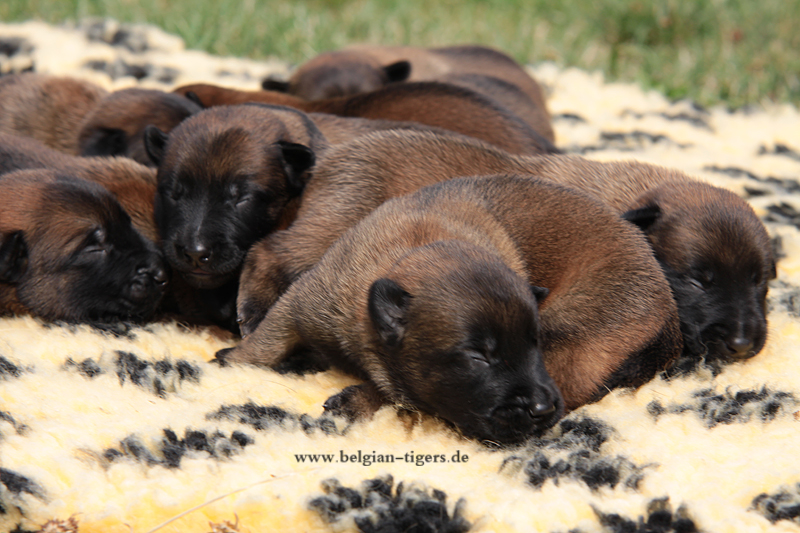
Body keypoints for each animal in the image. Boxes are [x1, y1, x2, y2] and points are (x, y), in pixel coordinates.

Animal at [218, 175, 681, 437]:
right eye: (478, 357)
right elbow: (269, 338)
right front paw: (235, 358)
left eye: (532, 347)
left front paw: (362, 398)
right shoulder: (306, 300)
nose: (542, 409)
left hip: (571, 339)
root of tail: (669, 310)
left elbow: (400, 393)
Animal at [237, 130, 773, 362]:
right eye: (697, 280)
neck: (621, 195)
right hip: (335, 227)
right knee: (270, 252)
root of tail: (330, 154)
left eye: (762, 284)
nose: (743, 345)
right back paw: (250, 313)